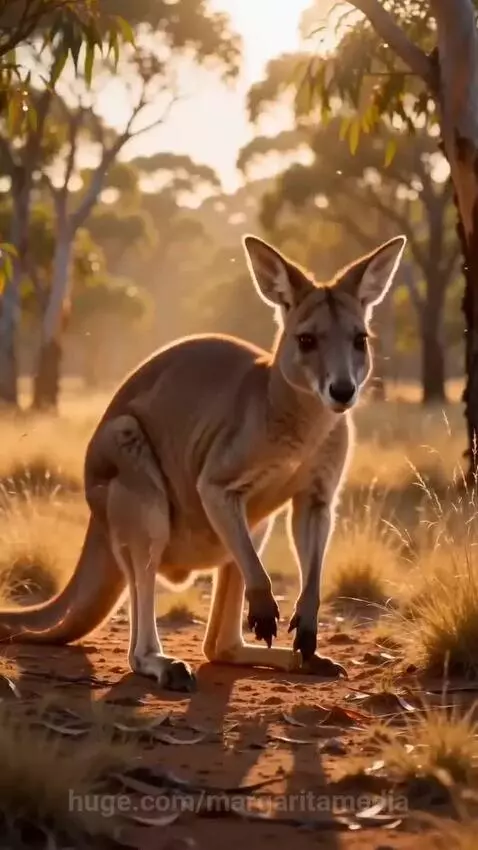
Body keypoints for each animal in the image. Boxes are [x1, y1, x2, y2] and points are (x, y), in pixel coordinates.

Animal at [0, 233, 406, 692]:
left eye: (360, 340)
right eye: (306, 341)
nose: (343, 391)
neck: (301, 416)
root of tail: (96, 522)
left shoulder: (318, 494)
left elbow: (313, 545)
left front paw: (306, 625)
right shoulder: (218, 479)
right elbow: (217, 498)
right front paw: (266, 607)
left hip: (251, 525)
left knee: (221, 643)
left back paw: (305, 658)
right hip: (133, 475)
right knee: (145, 613)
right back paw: (169, 663)